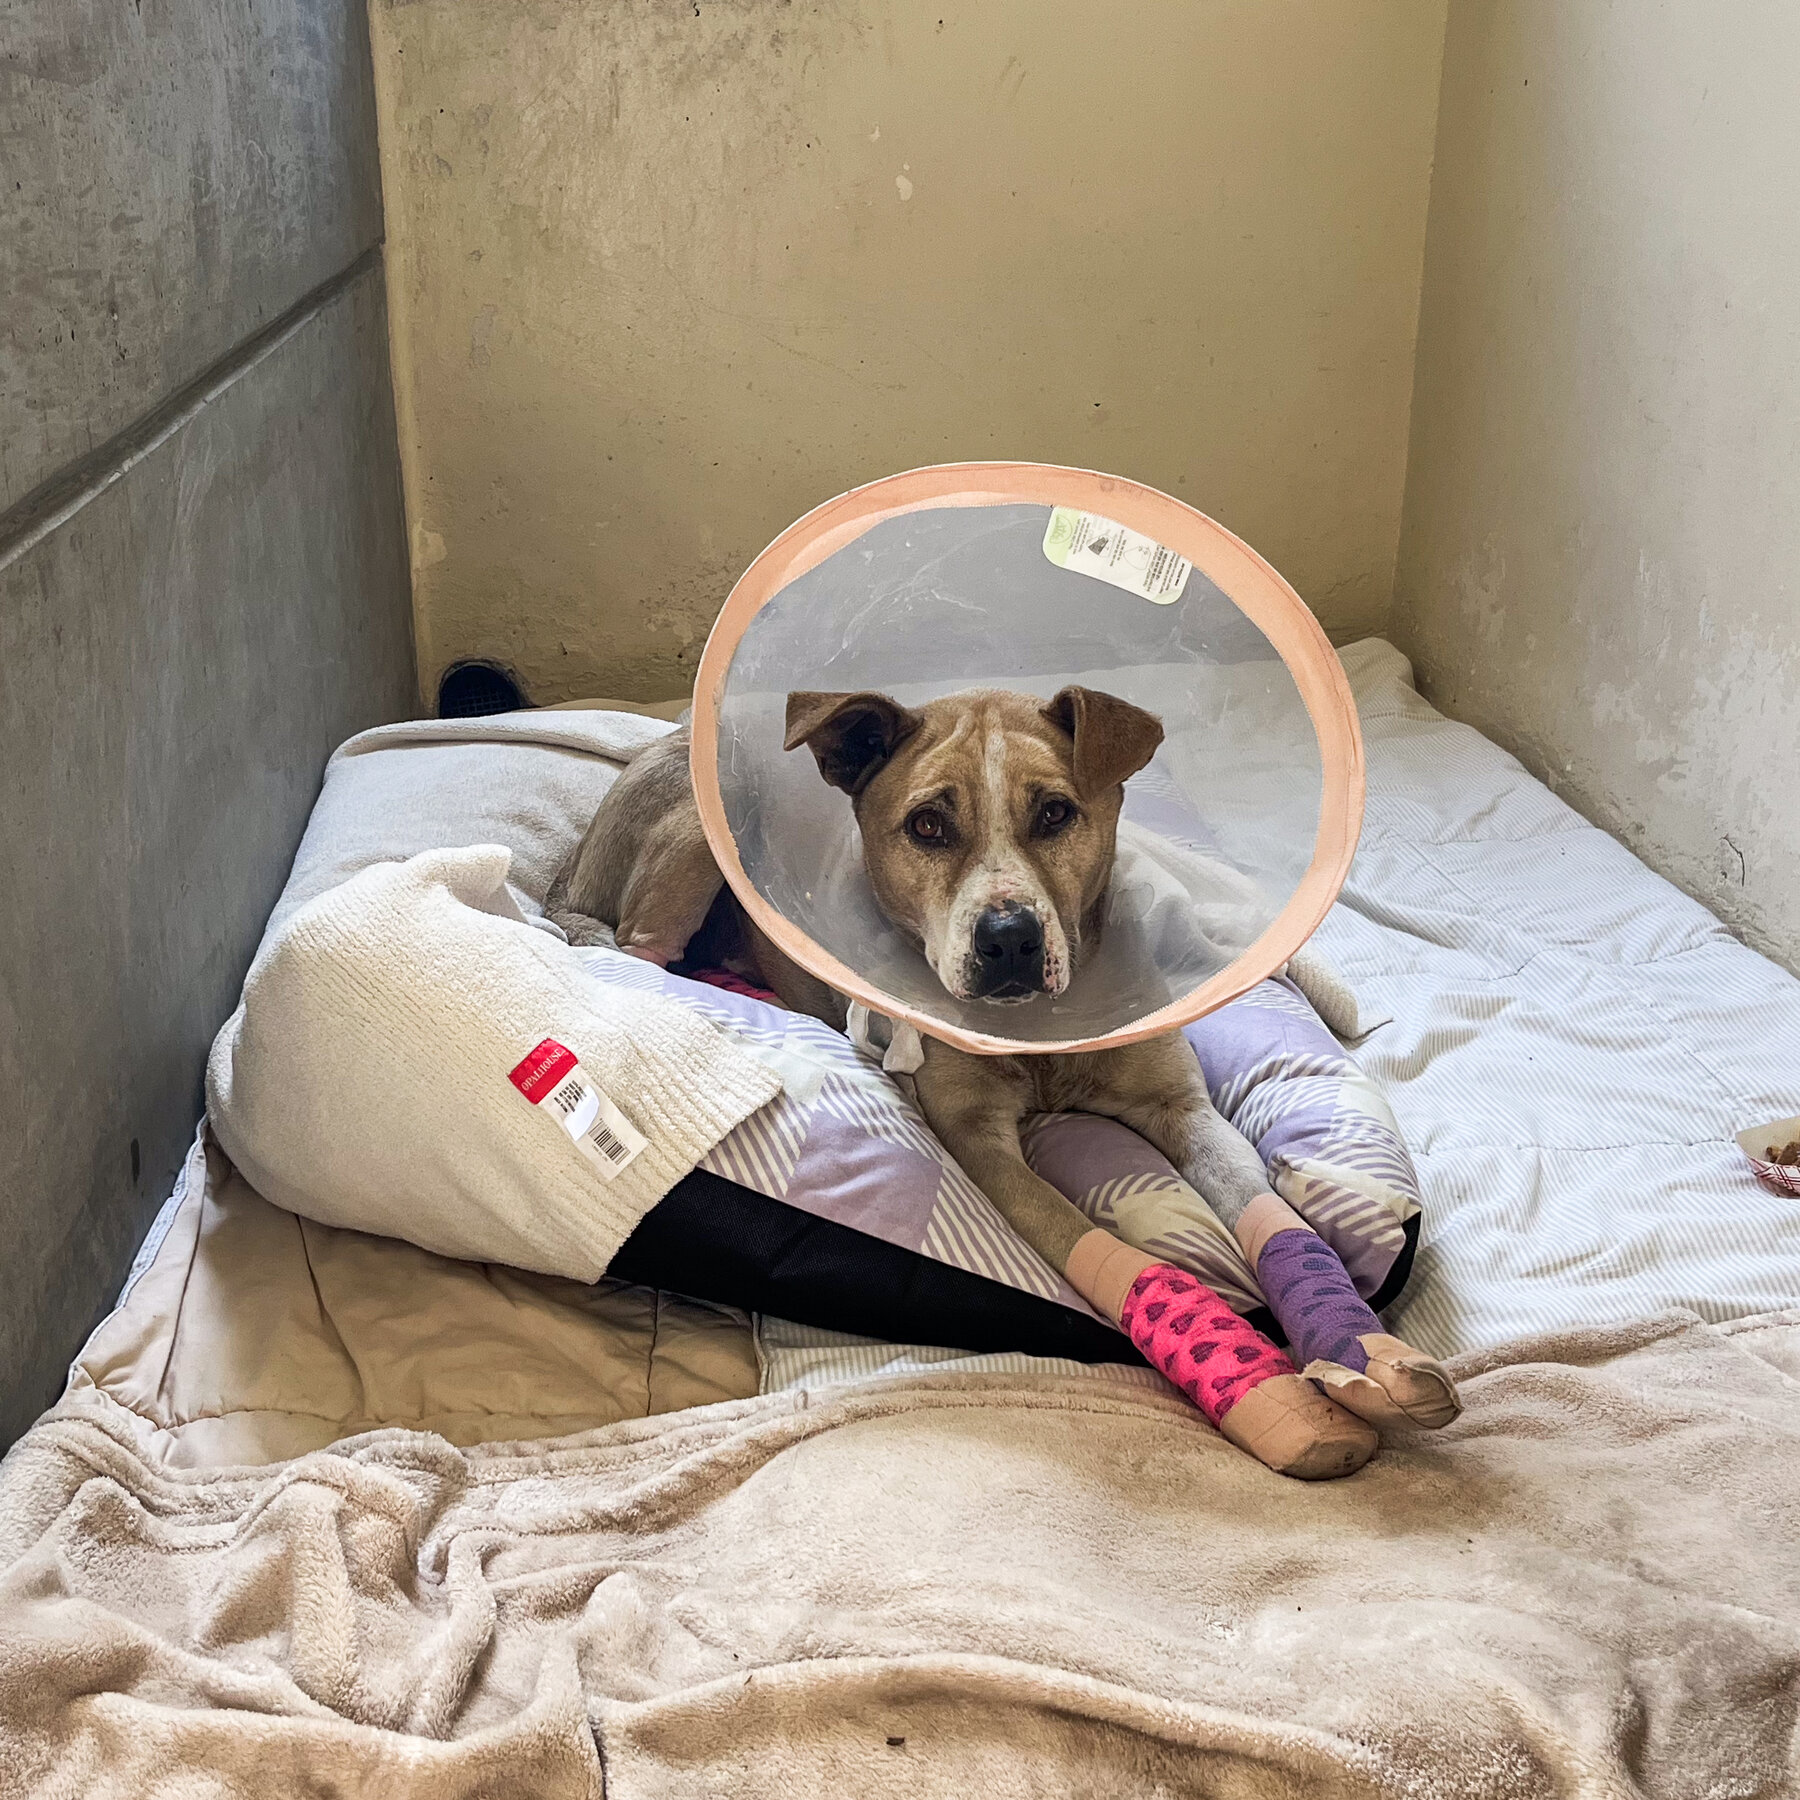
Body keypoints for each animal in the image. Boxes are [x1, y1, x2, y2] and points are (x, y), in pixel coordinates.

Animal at [540, 687, 1454, 1476]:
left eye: (1055, 813)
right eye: (927, 824)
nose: (1009, 938)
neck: (1046, 1038)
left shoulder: (1183, 1108)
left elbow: (1278, 1223)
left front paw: (1362, 1350)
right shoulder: (982, 1145)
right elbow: (1105, 1246)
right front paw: (1267, 1391)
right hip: (694, 843)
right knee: (639, 949)